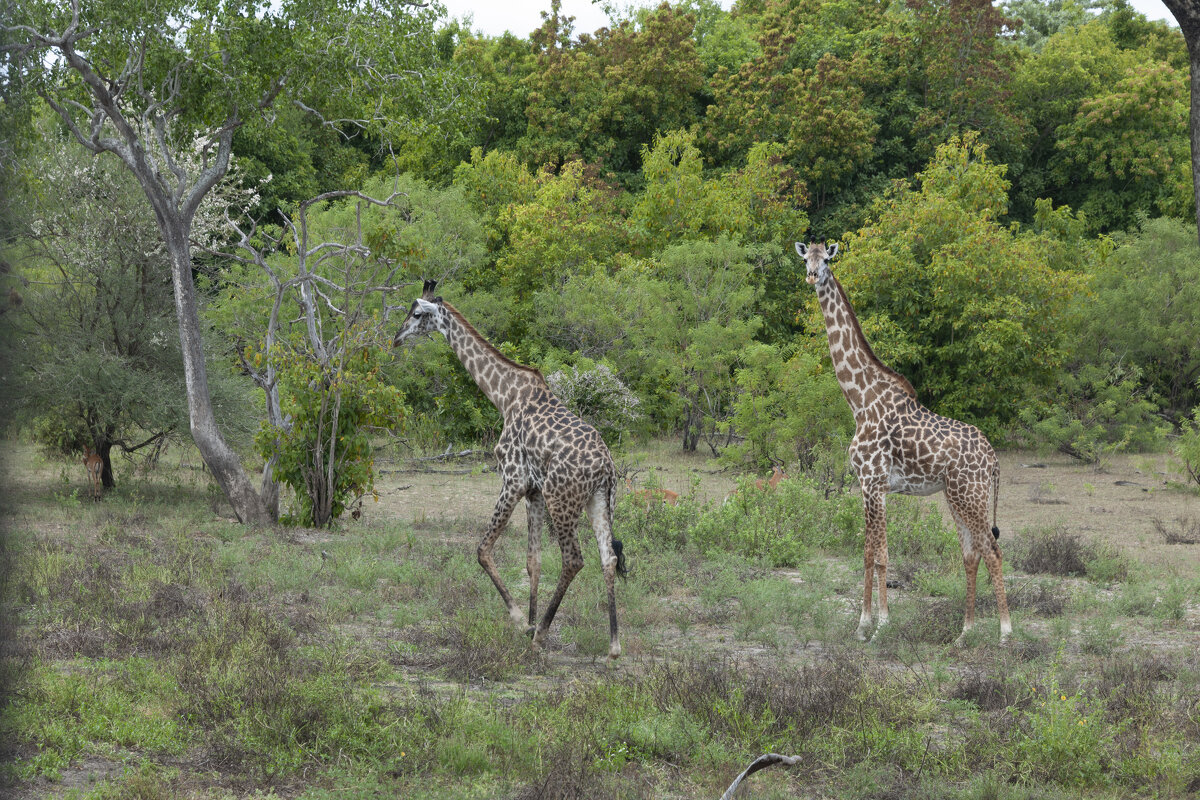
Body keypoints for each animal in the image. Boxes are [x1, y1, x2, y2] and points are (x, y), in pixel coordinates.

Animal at [393, 283, 628, 662]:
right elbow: (533, 561)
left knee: (574, 560)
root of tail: (605, 467)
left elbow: (483, 550)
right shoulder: (533, 491)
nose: (396, 339)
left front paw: (521, 621)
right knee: (608, 557)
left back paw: (542, 636)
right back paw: (613, 645)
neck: (503, 396)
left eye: (416, 314)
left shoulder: (513, 480)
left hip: (562, 500)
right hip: (599, 500)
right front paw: (529, 621)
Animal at [796, 239, 1012, 642]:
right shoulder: (867, 485)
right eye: (805, 259)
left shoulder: (874, 482)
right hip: (955, 496)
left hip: (971, 496)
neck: (859, 399)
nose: (812, 276)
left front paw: (880, 626)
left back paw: (1005, 633)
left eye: (828, 259)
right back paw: (964, 633)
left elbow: (880, 554)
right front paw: (862, 626)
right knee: (970, 553)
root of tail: (994, 460)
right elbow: (867, 552)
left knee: (992, 550)